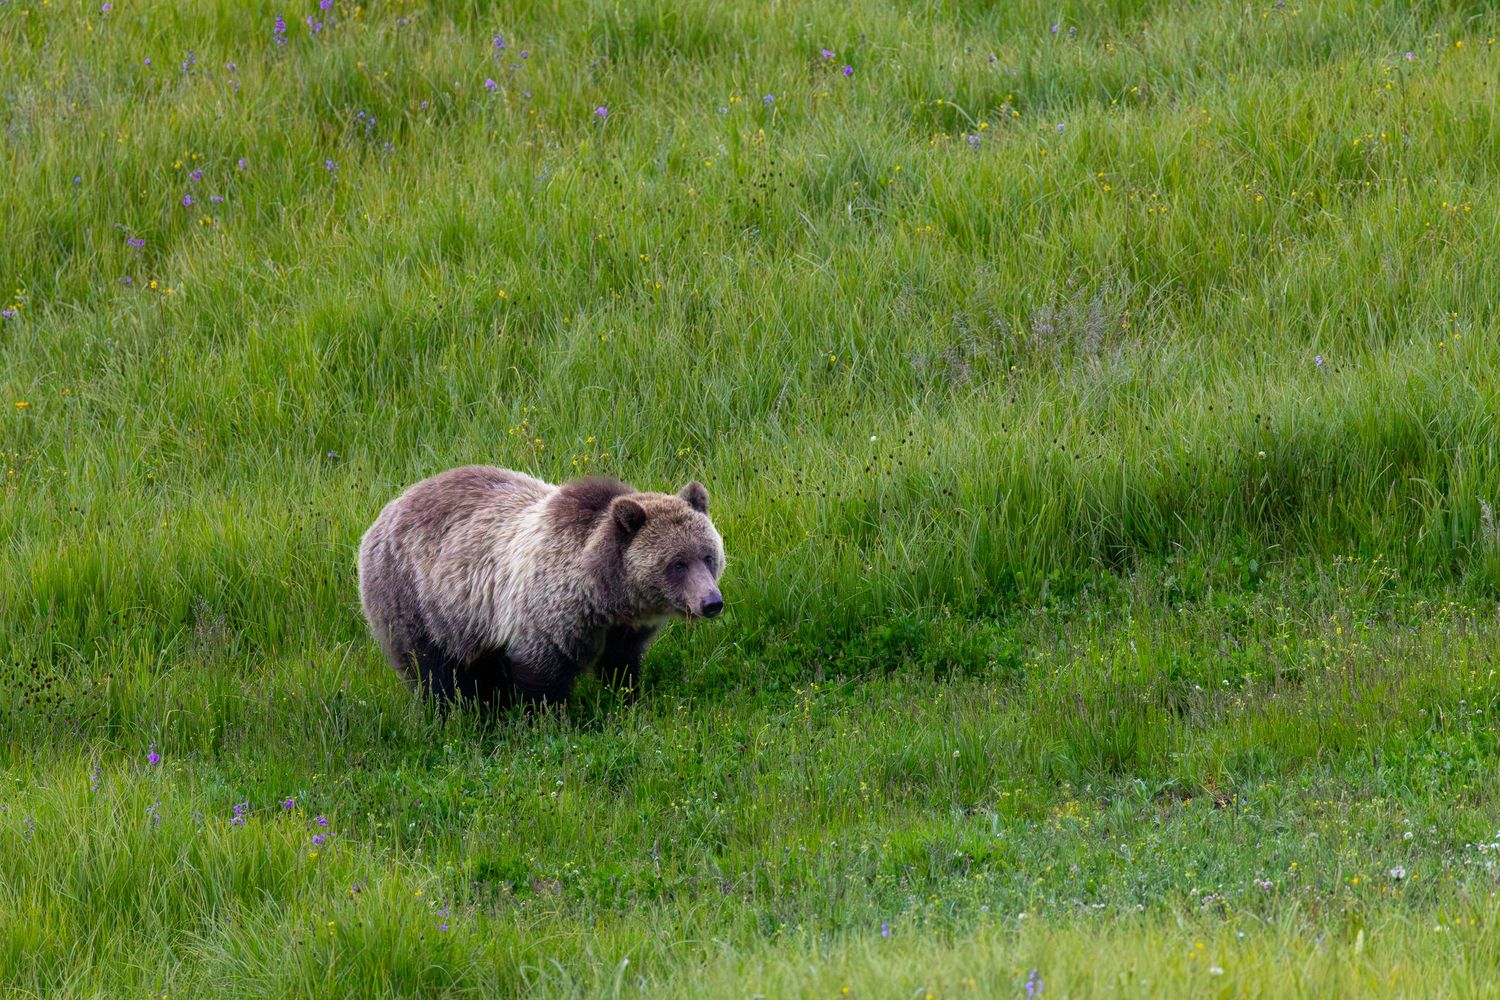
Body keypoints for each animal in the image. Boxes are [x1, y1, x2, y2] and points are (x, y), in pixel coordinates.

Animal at [357, 466, 724, 708]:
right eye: (677, 563)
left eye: (708, 555)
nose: (711, 602)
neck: (604, 594)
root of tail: (387, 509)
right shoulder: (546, 613)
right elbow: (542, 674)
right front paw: (548, 718)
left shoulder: (623, 630)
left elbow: (622, 665)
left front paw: (628, 698)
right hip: (416, 599)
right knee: (432, 670)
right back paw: (454, 712)